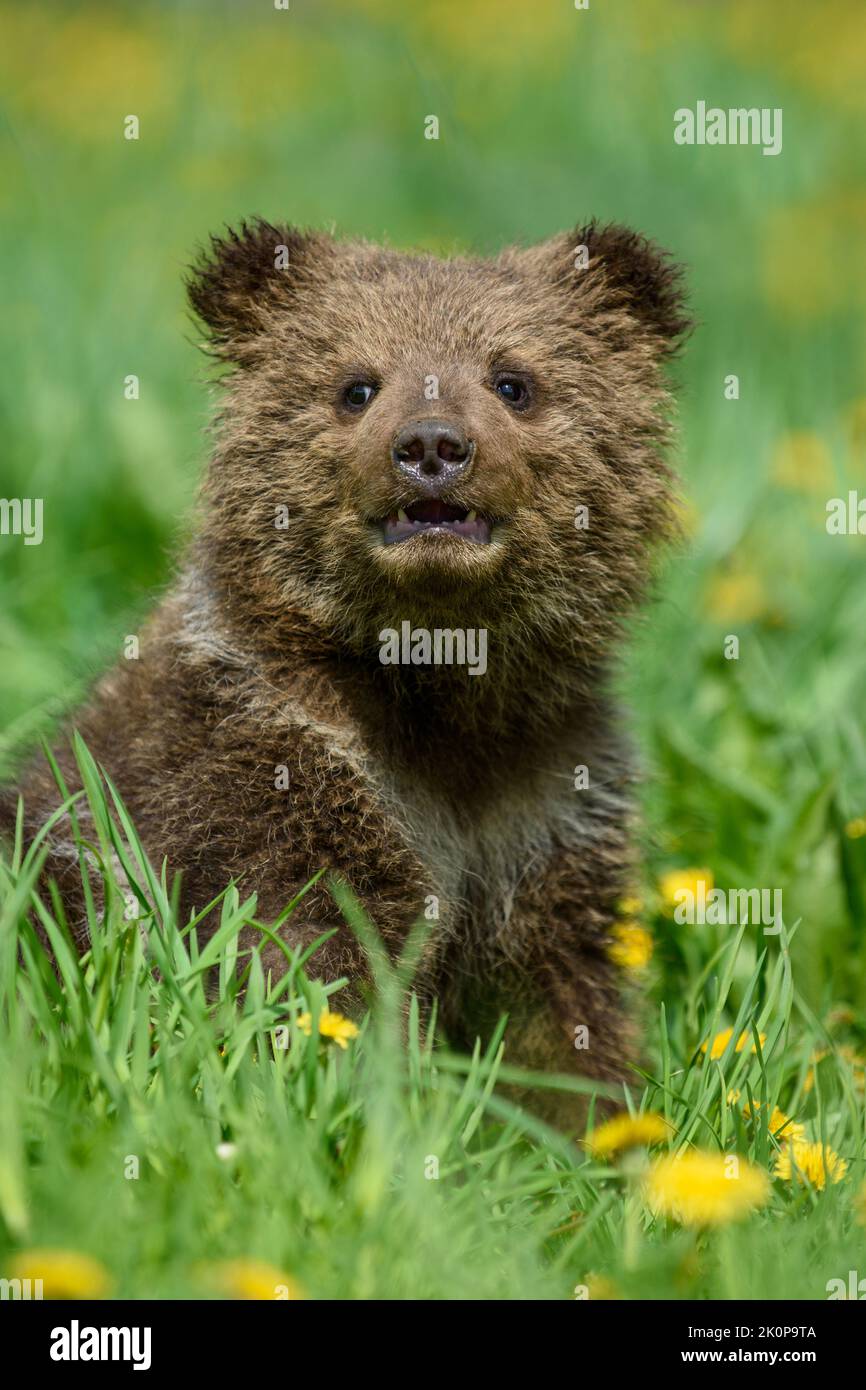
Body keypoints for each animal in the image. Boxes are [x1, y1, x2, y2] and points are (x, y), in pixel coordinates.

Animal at [0, 219, 689, 1129]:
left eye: (514, 380)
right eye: (357, 385)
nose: (432, 445)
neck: (439, 693)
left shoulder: (546, 801)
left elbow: (555, 1001)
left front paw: (583, 1129)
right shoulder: (265, 779)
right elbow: (315, 960)